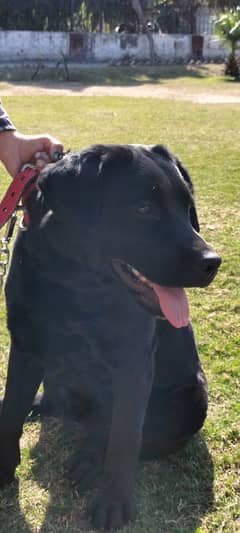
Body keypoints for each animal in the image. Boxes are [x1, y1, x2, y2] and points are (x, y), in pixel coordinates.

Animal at [0, 143, 221, 528]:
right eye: (143, 209)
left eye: (187, 207)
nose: (213, 262)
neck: (75, 281)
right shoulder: (25, 342)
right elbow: (11, 410)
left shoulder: (133, 362)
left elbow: (124, 437)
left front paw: (113, 503)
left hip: (193, 396)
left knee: (120, 432)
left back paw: (89, 460)